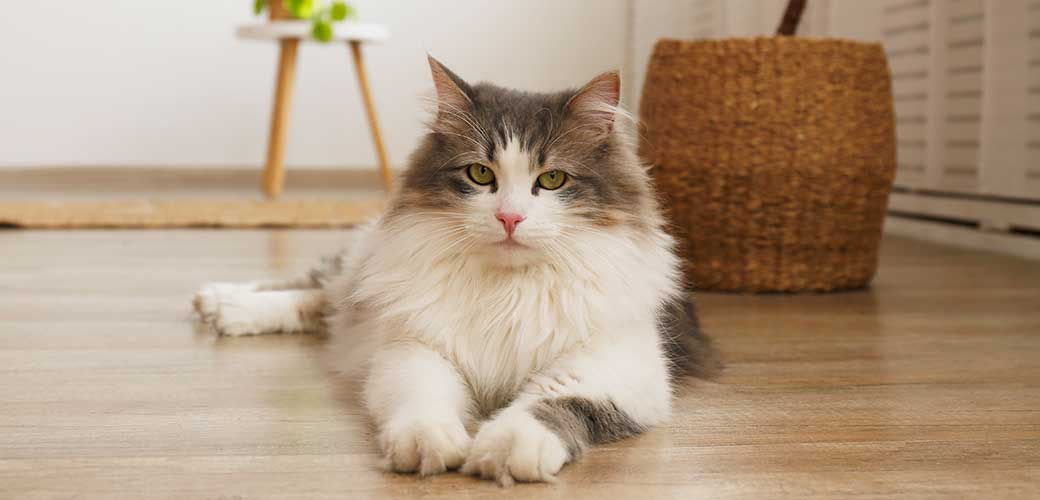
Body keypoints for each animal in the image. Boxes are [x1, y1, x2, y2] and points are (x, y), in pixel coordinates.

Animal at [193, 56, 715, 484]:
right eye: (480, 174)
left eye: (552, 179)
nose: (510, 218)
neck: (509, 289)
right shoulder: (416, 348)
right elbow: (423, 400)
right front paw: (428, 444)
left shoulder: (617, 369)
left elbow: (550, 403)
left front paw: (509, 448)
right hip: (371, 273)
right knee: (322, 291)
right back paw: (223, 303)